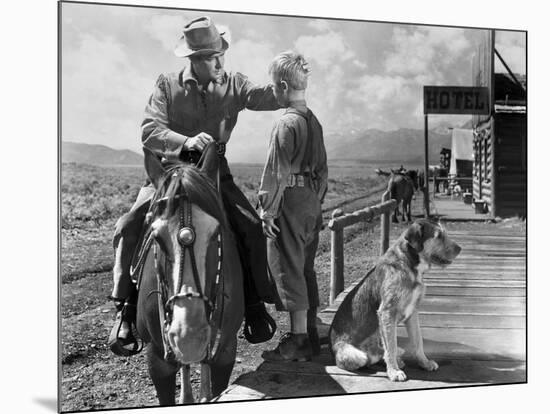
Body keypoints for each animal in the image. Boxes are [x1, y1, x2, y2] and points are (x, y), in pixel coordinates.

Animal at [332, 220, 462, 382]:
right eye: (438, 236)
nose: (460, 249)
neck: (410, 265)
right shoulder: (387, 312)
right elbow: (391, 346)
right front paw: (394, 372)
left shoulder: (412, 312)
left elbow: (418, 341)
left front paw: (424, 363)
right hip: (355, 354)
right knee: (369, 358)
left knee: (382, 352)